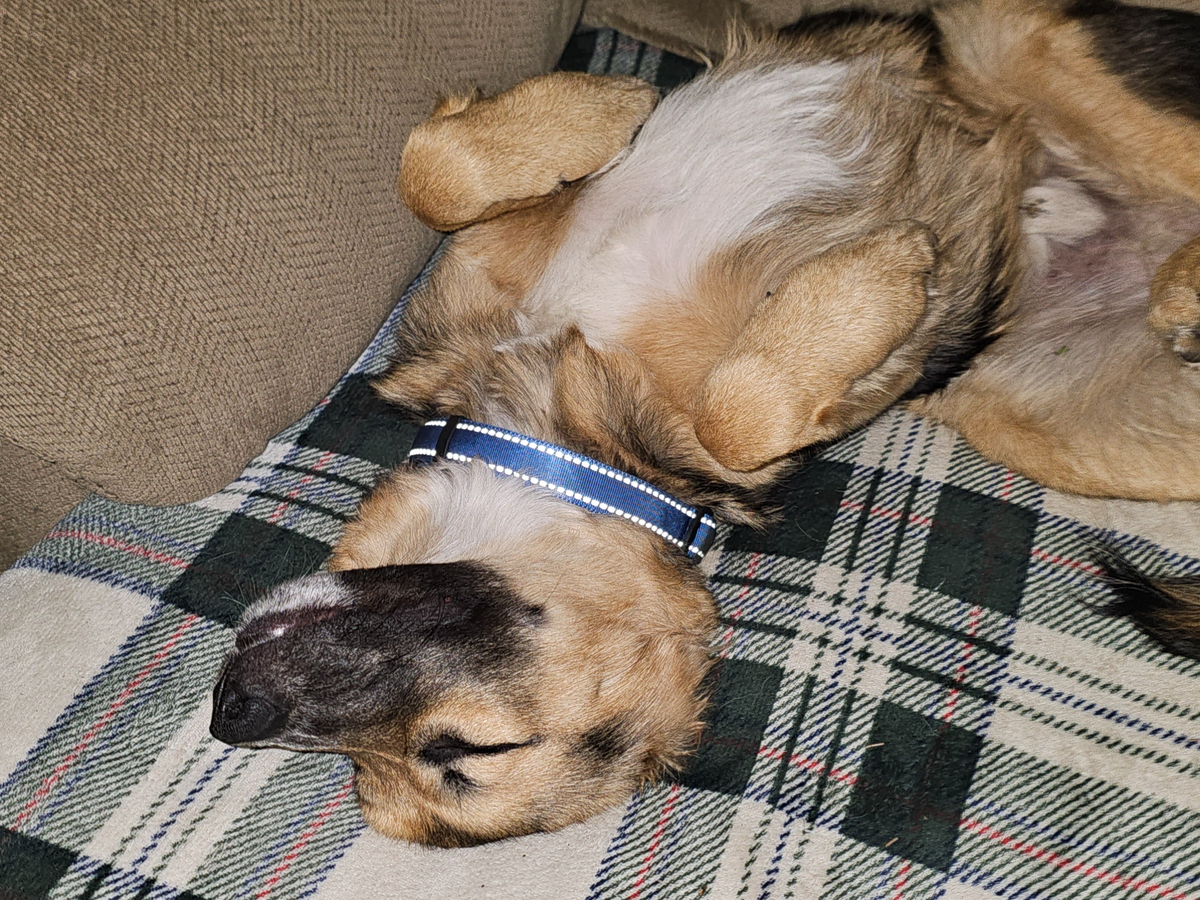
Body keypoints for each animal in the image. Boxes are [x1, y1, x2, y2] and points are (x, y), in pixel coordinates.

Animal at [210, 0, 1200, 846]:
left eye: (467, 752)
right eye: (364, 775)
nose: (231, 711)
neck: (556, 432)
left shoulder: (729, 439)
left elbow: (738, 415)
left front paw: (869, 279)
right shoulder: (474, 264)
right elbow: (434, 174)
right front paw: (598, 109)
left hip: (1012, 40)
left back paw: (1180, 283)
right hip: (1030, 415)